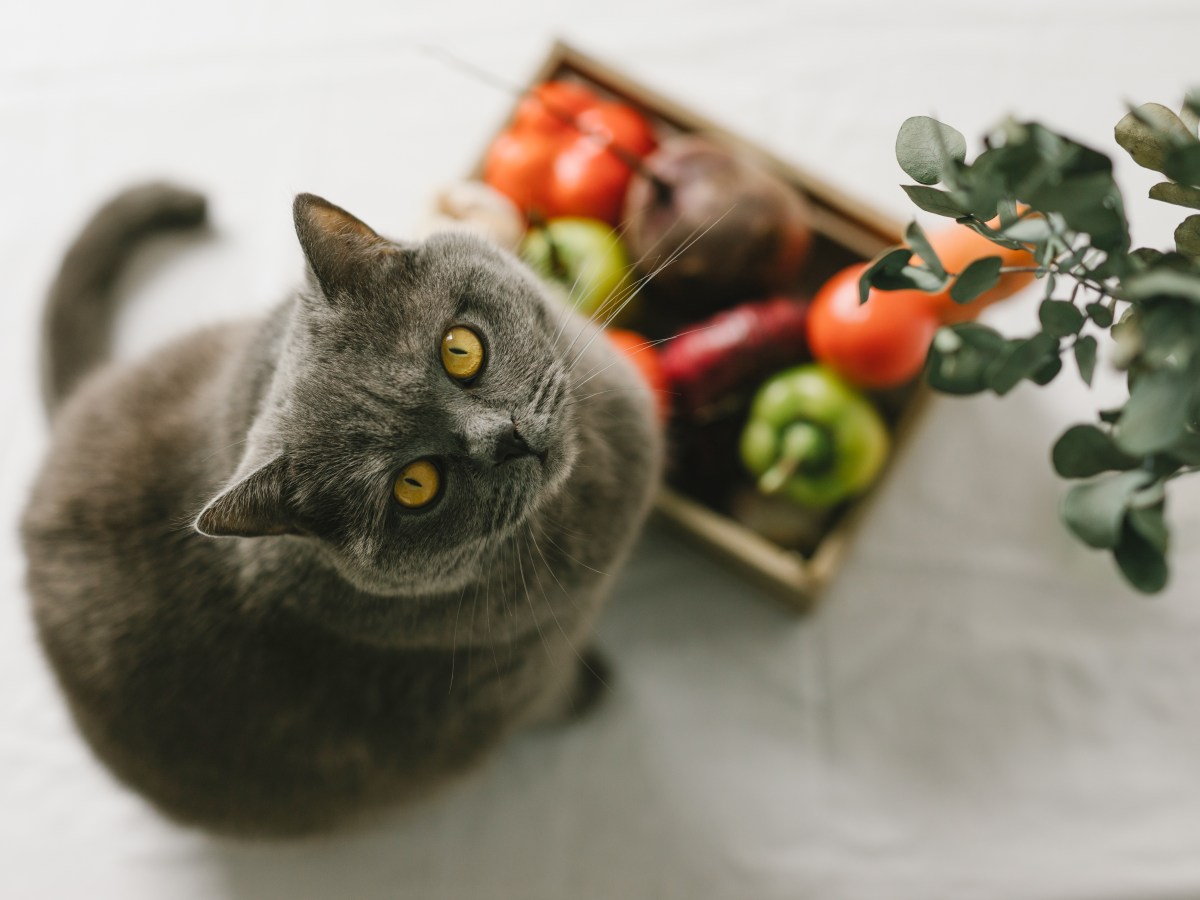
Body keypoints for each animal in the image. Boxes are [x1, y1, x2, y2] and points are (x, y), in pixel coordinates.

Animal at [18, 183, 662, 840]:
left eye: (460, 350)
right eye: (415, 486)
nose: (507, 440)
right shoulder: (529, 674)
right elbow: (556, 692)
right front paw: (594, 686)